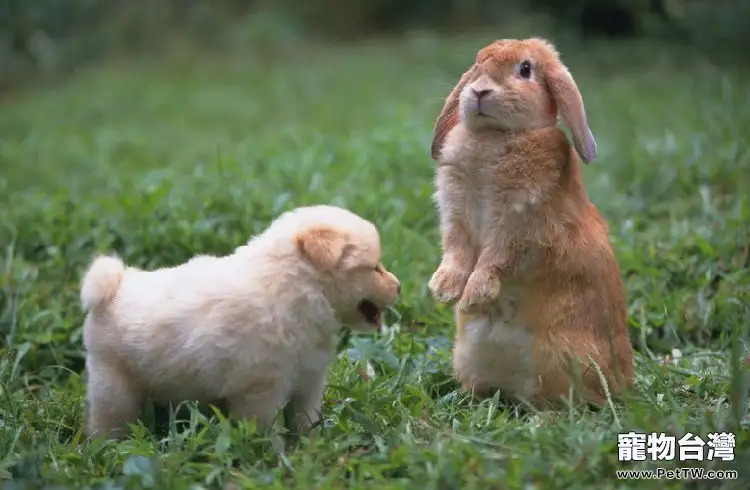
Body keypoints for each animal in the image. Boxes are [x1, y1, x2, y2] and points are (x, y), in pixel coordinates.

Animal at [79, 204, 402, 440]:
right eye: (374, 268)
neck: (297, 289)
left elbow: (307, 417)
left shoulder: (309, 379)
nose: (399, 287)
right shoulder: (260, 391)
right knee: (108, 421)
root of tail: (116, 285)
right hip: (114, 385)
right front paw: (274, 458)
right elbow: (266, 432)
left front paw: (313, 445)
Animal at [428, 37, 636, 406]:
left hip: (560, 355)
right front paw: (444, 289)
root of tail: (624, 376)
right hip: (469, 353)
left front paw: (474, 295)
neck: (496, 135)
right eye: (478, 63)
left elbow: (495, 259)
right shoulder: (456, 217)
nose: (479, 91)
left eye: (526, 69)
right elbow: (456, 252)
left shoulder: (519, 225)